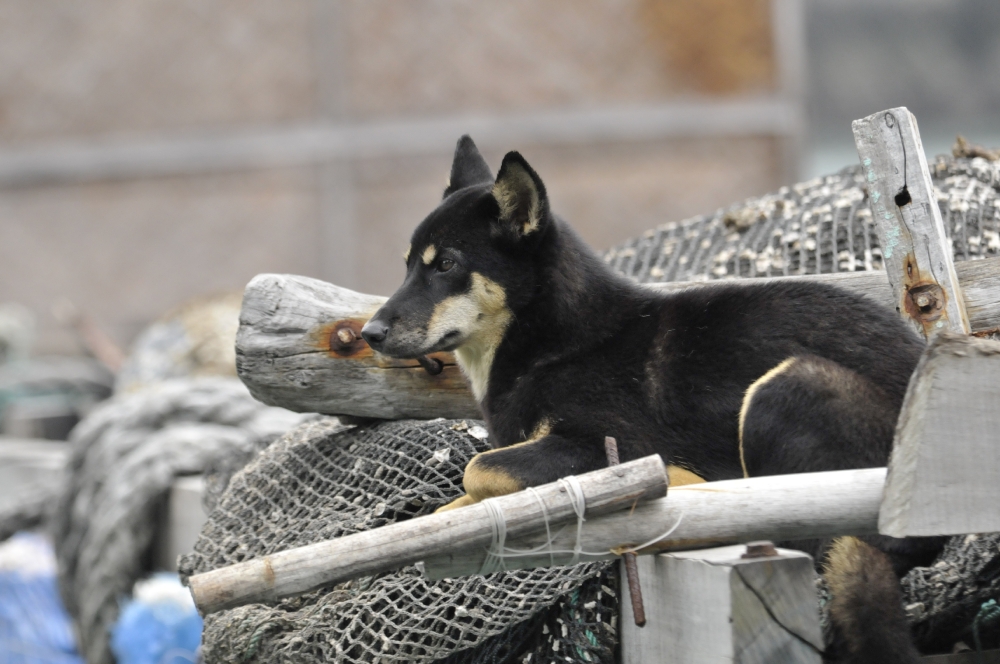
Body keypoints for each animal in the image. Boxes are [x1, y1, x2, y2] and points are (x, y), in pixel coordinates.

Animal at [364, 135, 940, 664]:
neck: (553, 342)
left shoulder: (604, 445)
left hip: (788, 386)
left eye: (446, 265)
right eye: (409, 265)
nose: (369, 334)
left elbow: (478, 469)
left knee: (801, 535)